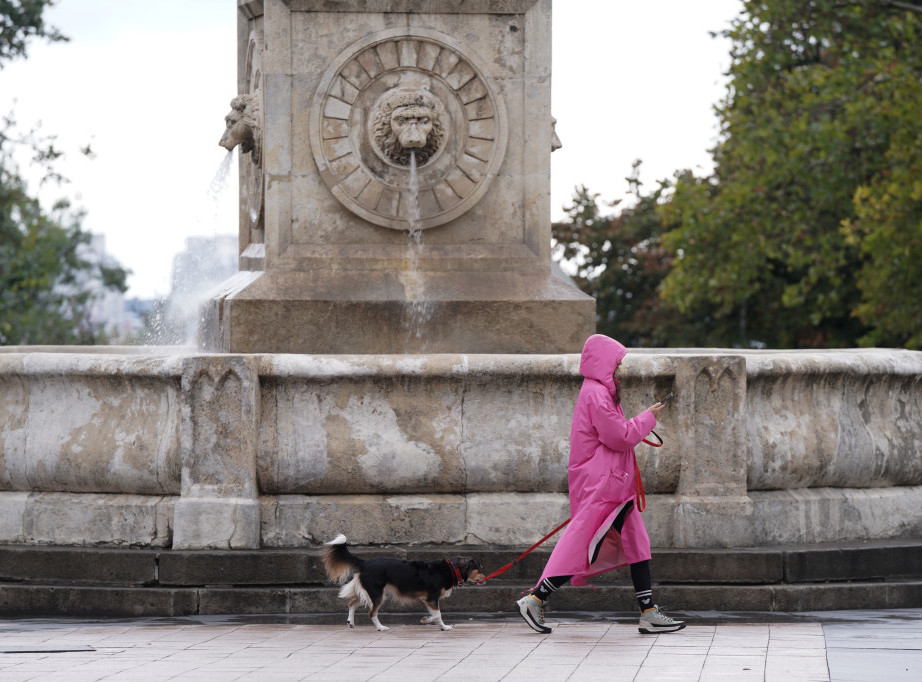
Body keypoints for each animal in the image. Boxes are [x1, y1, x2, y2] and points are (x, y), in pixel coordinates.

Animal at [322, 532, 486, 632]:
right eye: (479, 568)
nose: (485, 577)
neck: (452, 568)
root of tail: (365, 563)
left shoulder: (429, 600)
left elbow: (437, 615)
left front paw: (439, 625)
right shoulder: (431, 598)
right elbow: (438, 615)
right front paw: (431, 622)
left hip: (371, 592)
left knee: (352, 603)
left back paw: (350, 622)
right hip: (377, 594)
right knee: (371, 613)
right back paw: (381, 627)